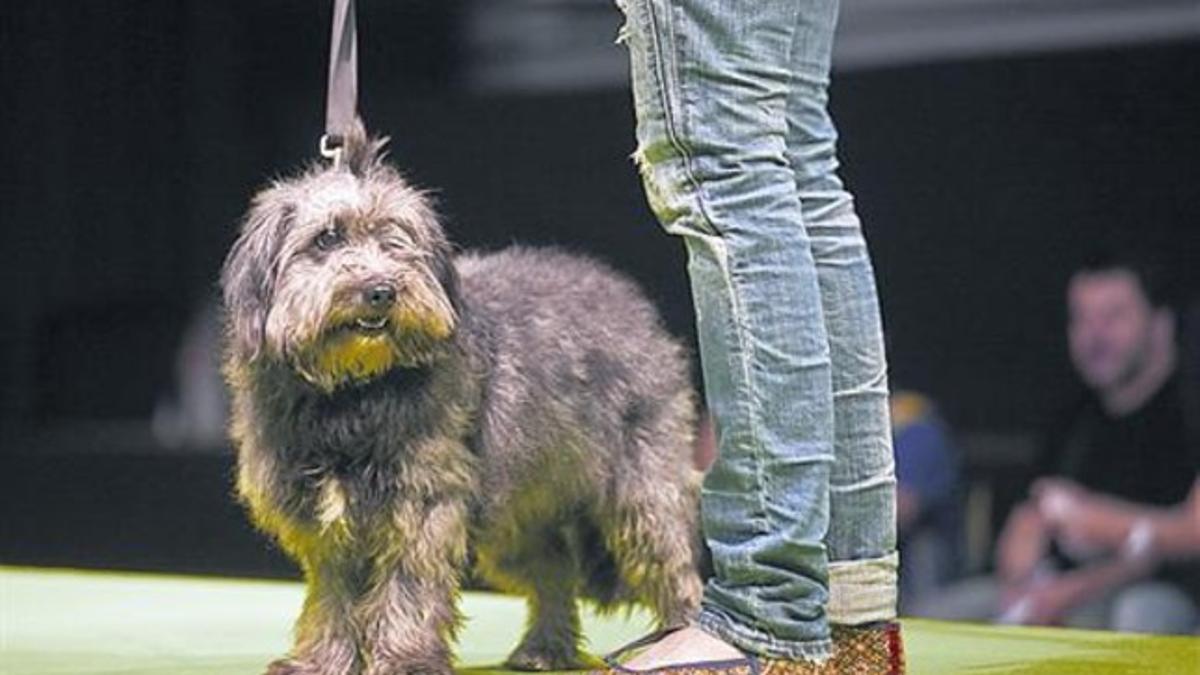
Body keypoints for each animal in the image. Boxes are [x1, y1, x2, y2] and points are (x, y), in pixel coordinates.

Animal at [223, 123, 700, 667]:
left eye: (397, 239)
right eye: (327, 238)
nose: (381, 290)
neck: (352, 392)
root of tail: (634, 306)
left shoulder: (424, 502)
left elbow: (408, 586)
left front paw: (404, 657)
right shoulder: (325, 520)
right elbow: (333, 596)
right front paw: (323, 659)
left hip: (642, 492)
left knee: (674, 570)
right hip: (520, 515)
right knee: (554, 571)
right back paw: (545, 648)